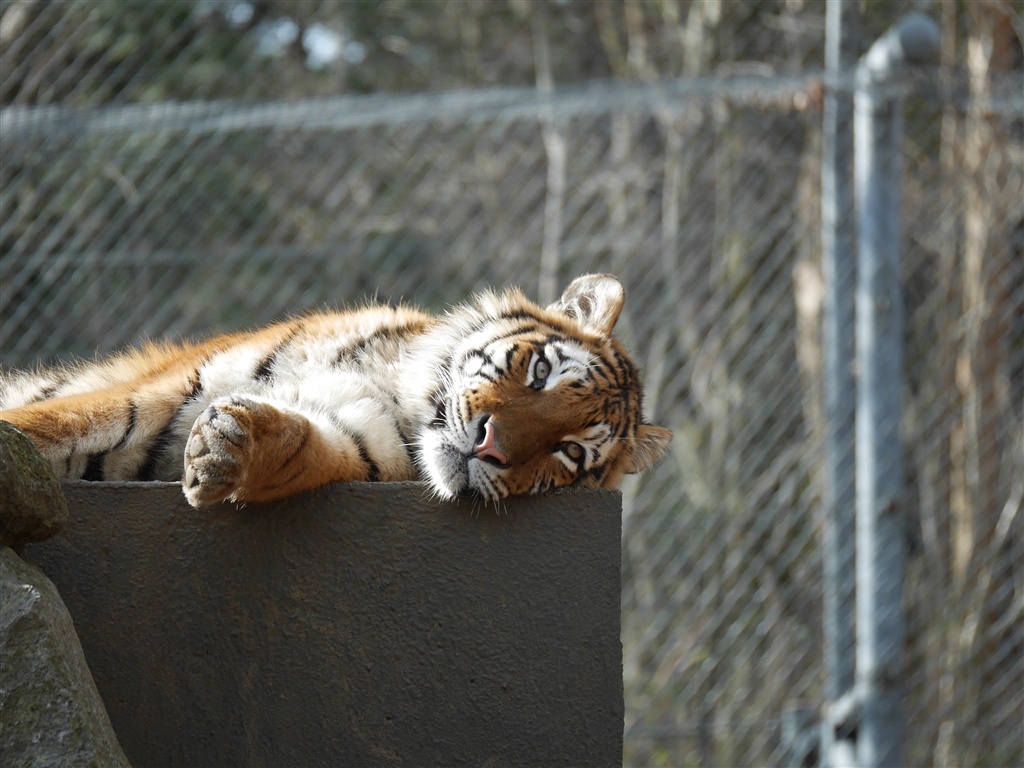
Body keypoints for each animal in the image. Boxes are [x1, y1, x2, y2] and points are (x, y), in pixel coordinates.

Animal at [1, 274, 672, 509]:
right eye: (540, 373)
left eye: (570, 451)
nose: (490, 447)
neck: (398, 394)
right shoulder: (163, 395)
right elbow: (58, 424)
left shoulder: (353, 445)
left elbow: (303, 445)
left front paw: (228, 448)